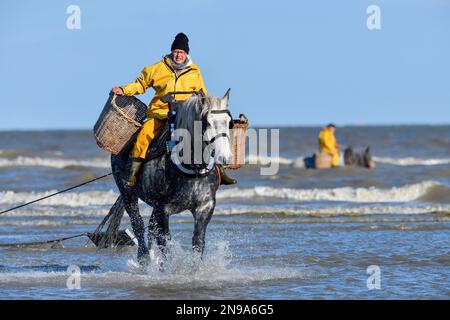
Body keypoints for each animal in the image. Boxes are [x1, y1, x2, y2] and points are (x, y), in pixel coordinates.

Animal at [111, 90, 232, 264]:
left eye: (229, 122)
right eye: (208, 122)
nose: (225, 157)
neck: (191, 167)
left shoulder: (205, 206)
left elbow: (198, 242)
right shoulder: (163, 209)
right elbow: (165, 242)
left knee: (151, 228)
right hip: (128, 194)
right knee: (138, 225)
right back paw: (144, 260)